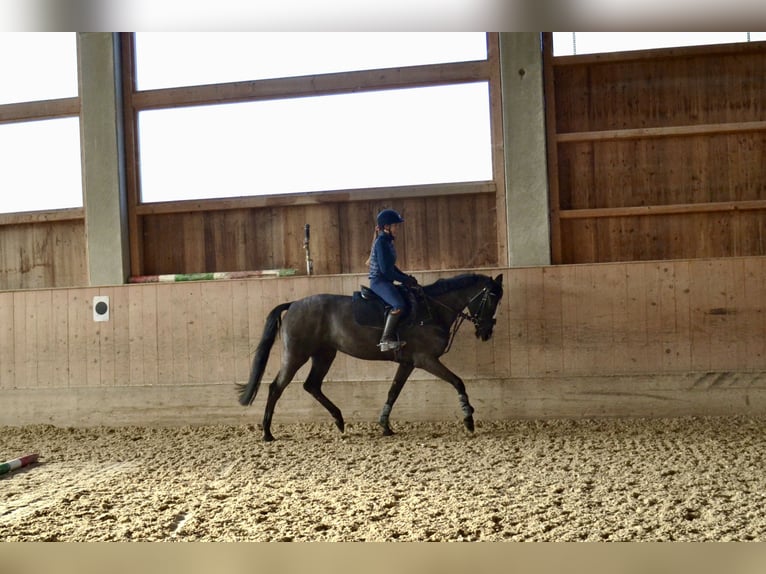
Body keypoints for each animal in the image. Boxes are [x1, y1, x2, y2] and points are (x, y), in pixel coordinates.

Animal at [237, 272, 504, 441]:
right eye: (491, 299)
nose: (486, 332)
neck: (433, 309)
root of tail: (293, 304)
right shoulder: (426, 359)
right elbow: (458, 381)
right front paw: (468, 419)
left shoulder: (408, 363)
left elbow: (393, 392)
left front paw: (385, 425)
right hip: (296, 355)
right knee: (276, 387)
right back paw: (267, 433)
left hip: (324, 354)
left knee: (311, 385)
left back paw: (339, 421)